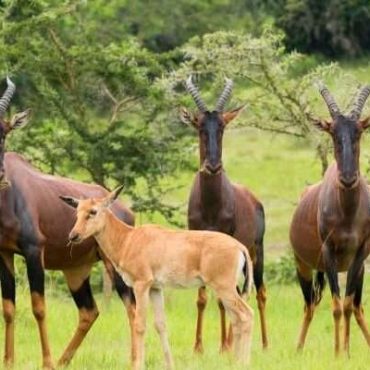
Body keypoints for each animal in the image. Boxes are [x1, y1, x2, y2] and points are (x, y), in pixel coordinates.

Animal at [0, 77, 136, 368]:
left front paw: (46, 362)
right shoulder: (3, 252)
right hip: (76, 270)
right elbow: (8, 307)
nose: (2, 177)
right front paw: (8, 361)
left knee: (132, 305)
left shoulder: (33, 251)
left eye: (5, 131)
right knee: (89, 311)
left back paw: (132, 360)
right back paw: (64, 360)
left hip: (114, 265)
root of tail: (123, 209)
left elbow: (39, 307)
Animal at [60, 186, 256, 370]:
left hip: (224, 288)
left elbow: (139, 324)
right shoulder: (156, 288)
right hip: (226, 291)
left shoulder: (141, 285)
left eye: (93, 211)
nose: (73, 236)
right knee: (236, 319)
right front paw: (170, 365)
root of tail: (239, 247)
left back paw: (243, 362)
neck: (128, 239)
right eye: (77, 211)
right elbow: (161, 325)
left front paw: (137, 365)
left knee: (246, 315)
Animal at [181, 76, 268, 352]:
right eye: (199, 126)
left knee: (258, 293)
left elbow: (223, 300)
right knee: (238, 293)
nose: (212, 166)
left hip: (255, 253)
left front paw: (225, 347)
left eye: (222, 127)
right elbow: (201, 298)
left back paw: (263, 344)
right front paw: (198, 347)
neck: (211, 205)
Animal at [290, 82, 370, 354]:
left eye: (359, 132)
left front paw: (345, 352)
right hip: (304, 266)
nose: (347, 178)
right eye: (332, 132)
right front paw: (337, 353)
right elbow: (335, 306)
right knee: (309, 305)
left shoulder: (360, 254)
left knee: (356, 306)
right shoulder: (329, 252)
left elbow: (347, 305)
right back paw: (298, 349)